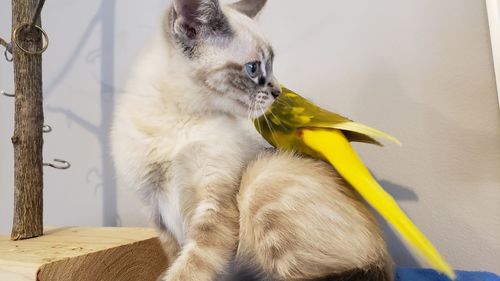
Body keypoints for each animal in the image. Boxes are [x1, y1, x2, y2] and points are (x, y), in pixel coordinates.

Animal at [110, 0, 394, 280]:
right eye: (253, 68)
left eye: (270, 66)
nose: (277, 92)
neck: (178, 119)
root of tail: (382, 257)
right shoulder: (156, 210)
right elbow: (175, 259)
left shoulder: (213, 206)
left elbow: (190, 268)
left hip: (262, 182)